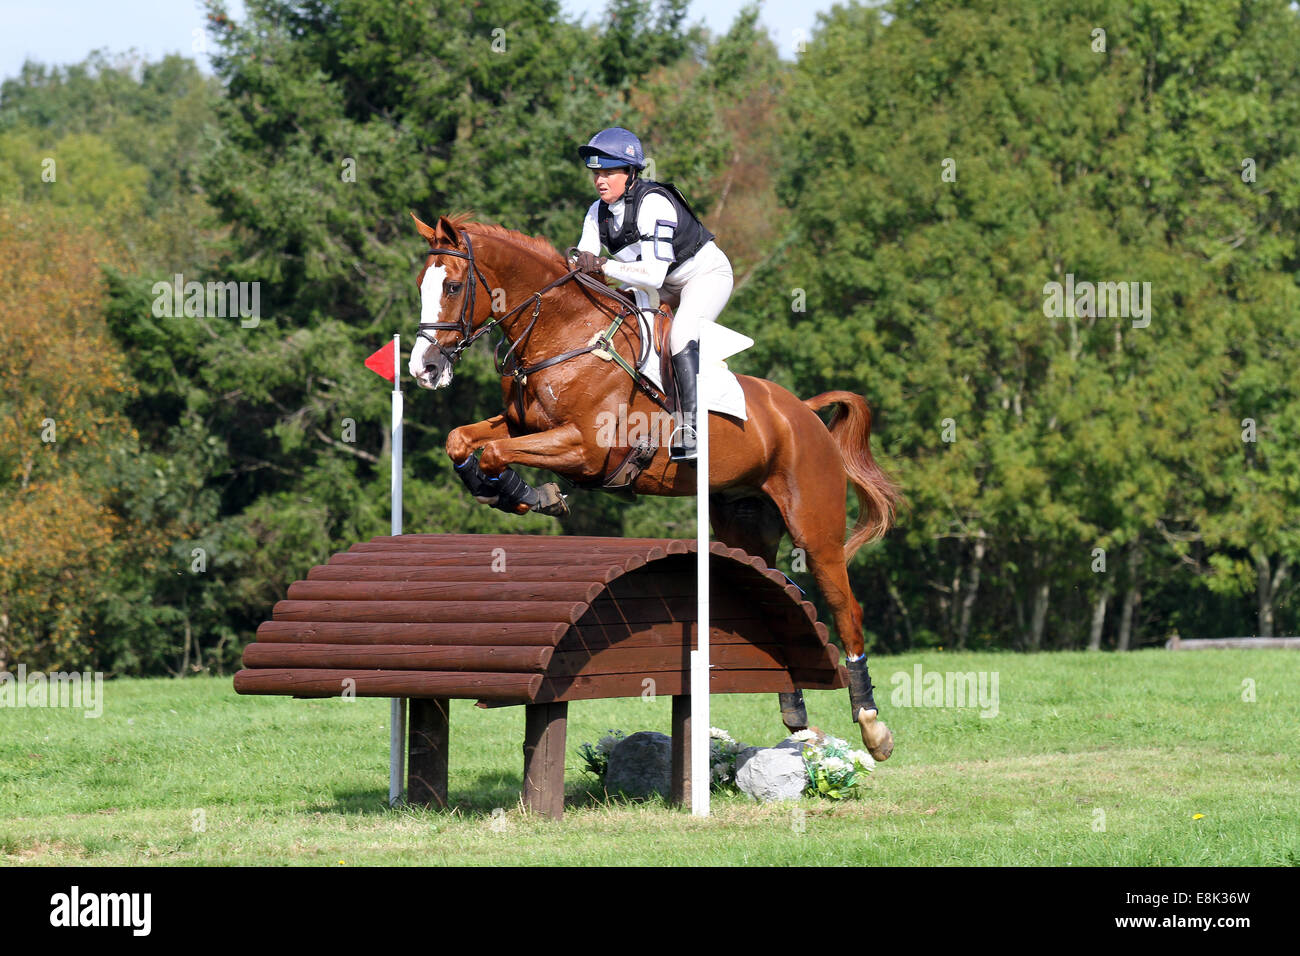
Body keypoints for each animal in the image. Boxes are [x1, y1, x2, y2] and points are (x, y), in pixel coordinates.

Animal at [408, 213, 904, 759]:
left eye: (453, 286)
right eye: (422, 284)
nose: (423, 368)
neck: (565, 334)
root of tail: (803, 412)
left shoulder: (588, 450)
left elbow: (497, 452)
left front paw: (530, 495)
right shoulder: (522, 427)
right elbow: (461, 440)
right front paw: (500, 490)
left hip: (815, 529)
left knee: (844, 608)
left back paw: (873, 727)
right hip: (744, 526)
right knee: (781, 595)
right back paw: (797, 719)